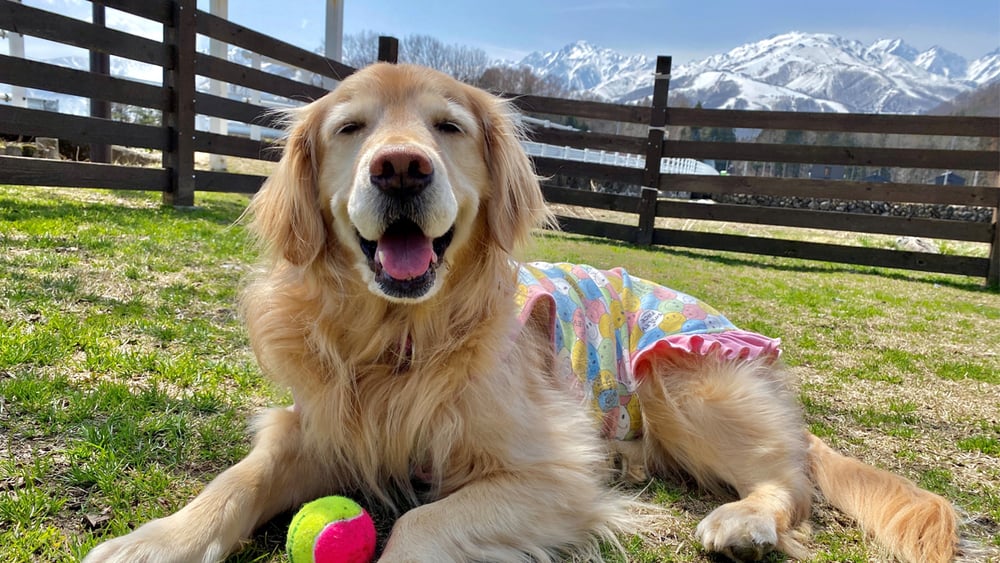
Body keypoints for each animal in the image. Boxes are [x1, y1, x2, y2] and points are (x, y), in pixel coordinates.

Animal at [86, 64, 960, 560]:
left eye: (448, 126)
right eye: (351, 127)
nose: (400, 168)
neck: (400, 340)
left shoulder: (557, 475)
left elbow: (419, 526)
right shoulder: (322, 426)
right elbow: (237, 478)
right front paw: (154, 540)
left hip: (687, 380)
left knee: (789, 483)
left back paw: (743, 524)